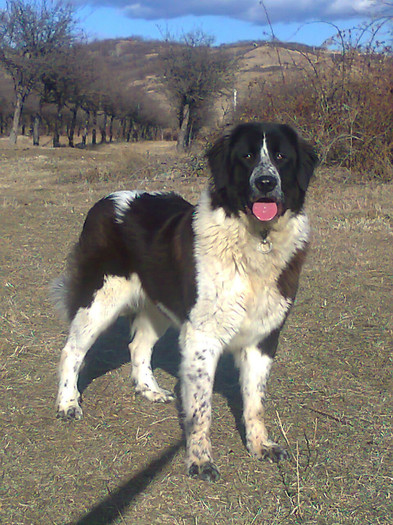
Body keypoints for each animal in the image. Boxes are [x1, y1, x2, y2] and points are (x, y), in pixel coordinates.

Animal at [52, 122, 316, 478]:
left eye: (281, 157)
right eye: (247, 156)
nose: (265, 182)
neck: (254, 240)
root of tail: (106, 201)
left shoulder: (263, 338)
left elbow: (255, 401)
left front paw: (260, 445)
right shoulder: (202, 338)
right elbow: (201, 409)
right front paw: (200, 459)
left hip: (157, 307)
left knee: (138, 346)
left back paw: (149, 390)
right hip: (100, 301)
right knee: (72, 350)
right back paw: (68, 403)